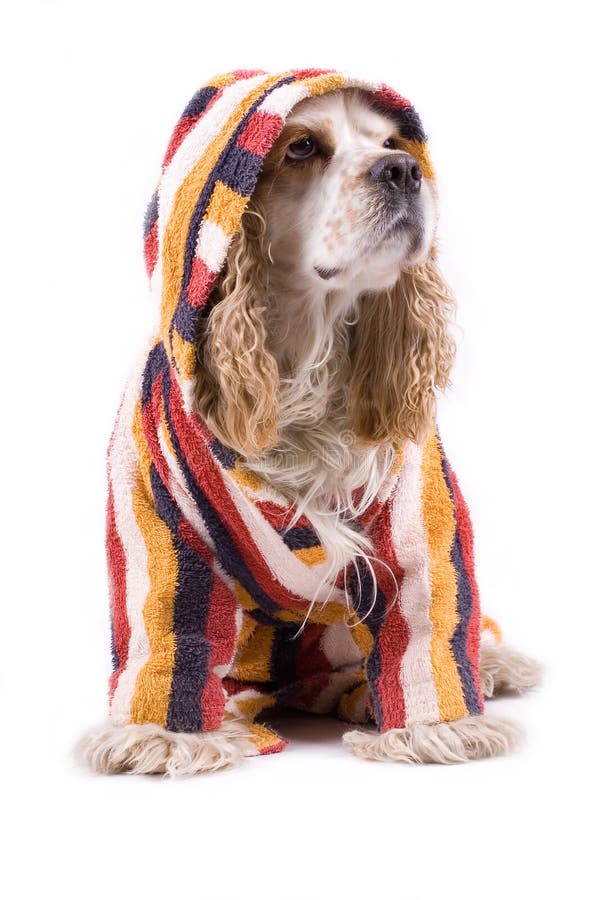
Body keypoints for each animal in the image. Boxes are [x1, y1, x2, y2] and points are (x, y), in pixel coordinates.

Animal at [77, 68, 540, 772]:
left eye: (391, 141)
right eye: (300, 148)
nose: (404, 170)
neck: (300, 359)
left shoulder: (417, 506)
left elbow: (428, 614)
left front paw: (438, 729)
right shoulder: (154, 509)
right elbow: (169, 622)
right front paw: (164, 737)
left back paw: (478, 665)